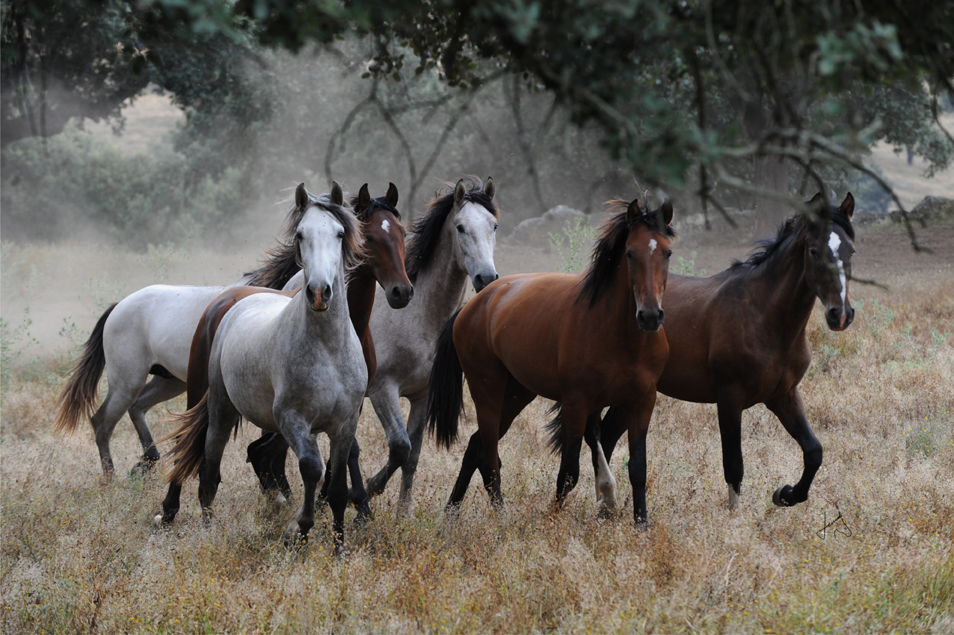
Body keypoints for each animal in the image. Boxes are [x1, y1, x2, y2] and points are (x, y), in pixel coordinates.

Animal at [156, 183, 412, 524]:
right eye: (369, 237)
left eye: (402, 233)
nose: (402, 291)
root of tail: (225, 300)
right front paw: (352, 504)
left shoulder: (350, 409)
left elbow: (344, 457)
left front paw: (353, 505)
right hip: (204, 394)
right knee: (190, 446)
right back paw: (170, 509)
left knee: (257, 451)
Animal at [426, 196, 675, 524]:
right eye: (630, 253)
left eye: (668, 252)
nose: (649, 316)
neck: (622, 336)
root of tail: (475, 305)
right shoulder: (577, 403)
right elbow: (568, 472)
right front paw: (553, 522)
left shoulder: (641, 403)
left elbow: (637, 469)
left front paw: (641, 524)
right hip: (487, 390)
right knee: (489, 454)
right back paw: (499, 516)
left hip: (517, 394)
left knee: (475, 446)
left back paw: (451, 513)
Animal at [582, 193, 856, 512]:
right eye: (813, 251)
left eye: (851, 251)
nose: (840, 314)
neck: (763, 315)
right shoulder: (729, 398)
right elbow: (734, 465)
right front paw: (735, 519)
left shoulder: (783, 396)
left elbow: (813, 451)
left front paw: (785, 494)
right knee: (596, 436)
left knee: (607, 436)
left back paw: (606, 504)